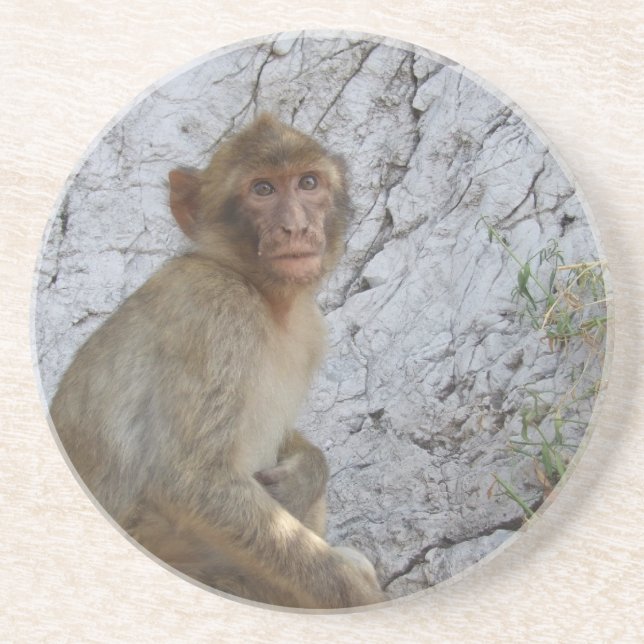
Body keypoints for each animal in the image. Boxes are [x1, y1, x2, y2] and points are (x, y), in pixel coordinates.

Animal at [50, 114, 386, 609]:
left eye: (308, 183)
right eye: (262, 189)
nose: (296, 227)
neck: (258, 291)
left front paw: (307, 472)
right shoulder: (214, 308)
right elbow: (193, 481)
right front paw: (361, 598)